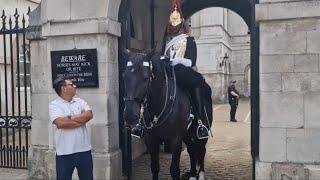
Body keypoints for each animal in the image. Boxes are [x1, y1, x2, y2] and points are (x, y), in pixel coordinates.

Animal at [124, 51, 214, 180]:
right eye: (124, 77)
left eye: (145, 78)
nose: (129, 116)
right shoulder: (151, 139)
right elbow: (154, 167)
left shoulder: (175, 139)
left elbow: (174, 170)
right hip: (187, 135)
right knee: (192, 151)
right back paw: (192, 175)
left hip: (200, 135)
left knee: (201, 151)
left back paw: (201, 175)